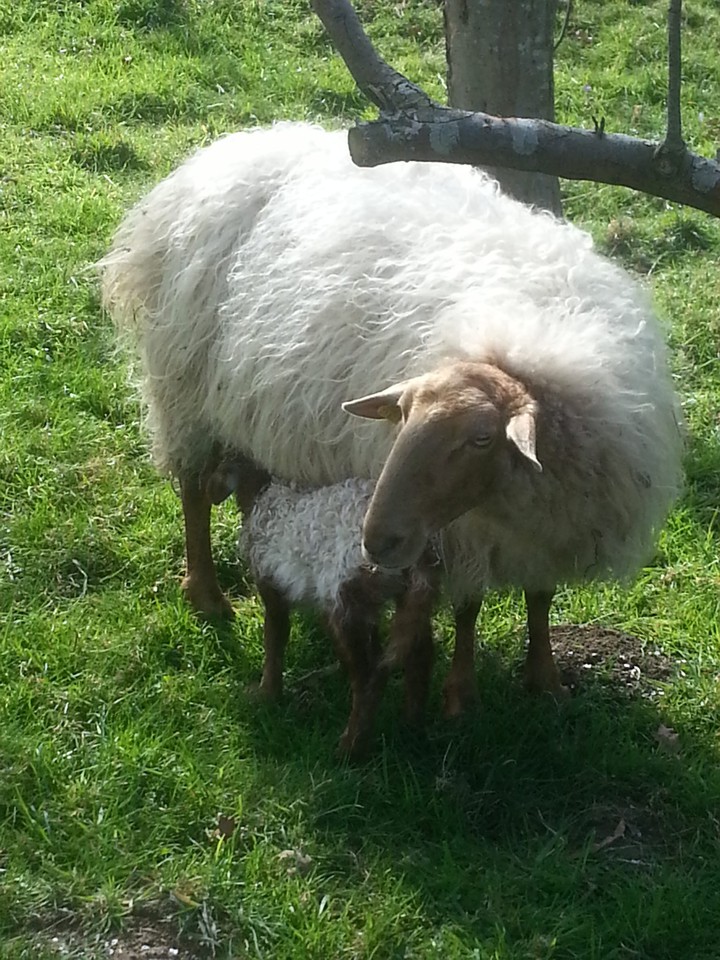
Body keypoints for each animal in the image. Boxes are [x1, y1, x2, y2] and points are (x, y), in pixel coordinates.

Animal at [99, 121, 683, 713]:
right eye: (401, 419)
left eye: (482, 439)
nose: (376, 538)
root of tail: (232, 150)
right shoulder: (460, 533)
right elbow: (469, 608)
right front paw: (460, 694)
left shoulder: (547, 526)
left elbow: (540, 598)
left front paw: (545, 679)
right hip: (185, 392)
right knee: (193, 492)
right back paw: (206, 594)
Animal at [205, 456, 441, 755]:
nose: (210, 489)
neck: (262, 491)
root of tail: (419, 555)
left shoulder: (271, 582)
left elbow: (274, 637)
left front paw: (266, 693)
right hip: (404, 598)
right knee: (419, 654)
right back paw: (411, 728)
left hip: (347, 594)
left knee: (369, 674)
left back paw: (349, 747)